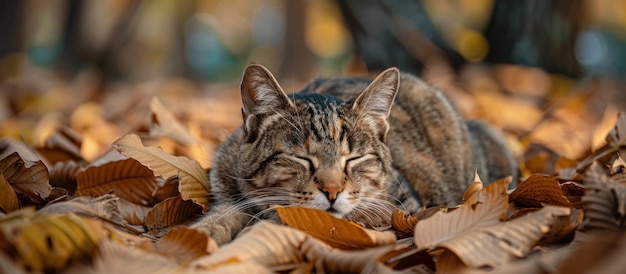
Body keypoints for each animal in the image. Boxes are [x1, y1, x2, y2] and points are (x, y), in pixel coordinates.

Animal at [191, 64, 516, 244]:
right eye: (301, 158)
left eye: (354, 159)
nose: (333, 192)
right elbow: (227, 211)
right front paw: (208, 230)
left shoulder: (395, 207)